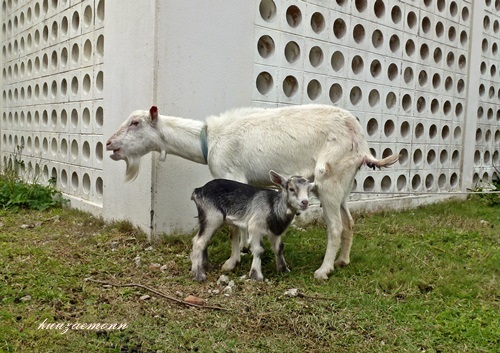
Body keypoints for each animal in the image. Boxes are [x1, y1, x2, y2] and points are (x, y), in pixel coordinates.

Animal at [106, 103, 398, 280]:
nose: (109, 144)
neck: (209, 140)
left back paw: (323, 270)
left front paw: (232, 261)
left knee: (335, 227)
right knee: (349, 221)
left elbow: (233, 227)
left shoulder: (231, 175)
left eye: (135, 123)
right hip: (344, 184)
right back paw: (343, 261)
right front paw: (247, 248)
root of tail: (361, 142)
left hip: (330, 178)